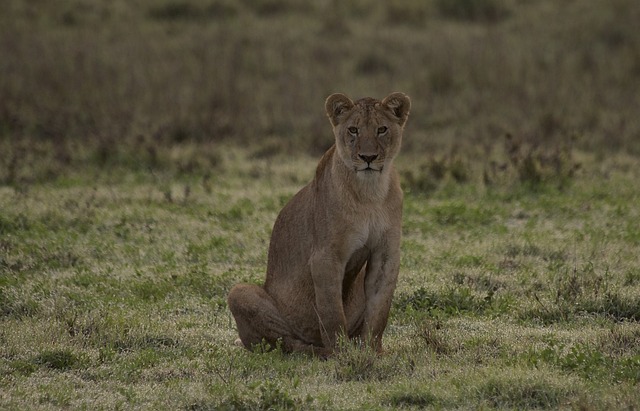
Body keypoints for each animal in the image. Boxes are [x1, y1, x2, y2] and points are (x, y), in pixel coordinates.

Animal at [228, 92, 412, 358]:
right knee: (285, 343)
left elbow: (379, 310)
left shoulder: (386, 254)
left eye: (382, 129)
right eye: (353, 130)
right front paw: (341, 353)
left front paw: (372, 351)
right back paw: (317, 351)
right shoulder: (325, 257)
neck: (370, 194)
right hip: (240, 292)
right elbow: (332, 313)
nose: (368, 158)